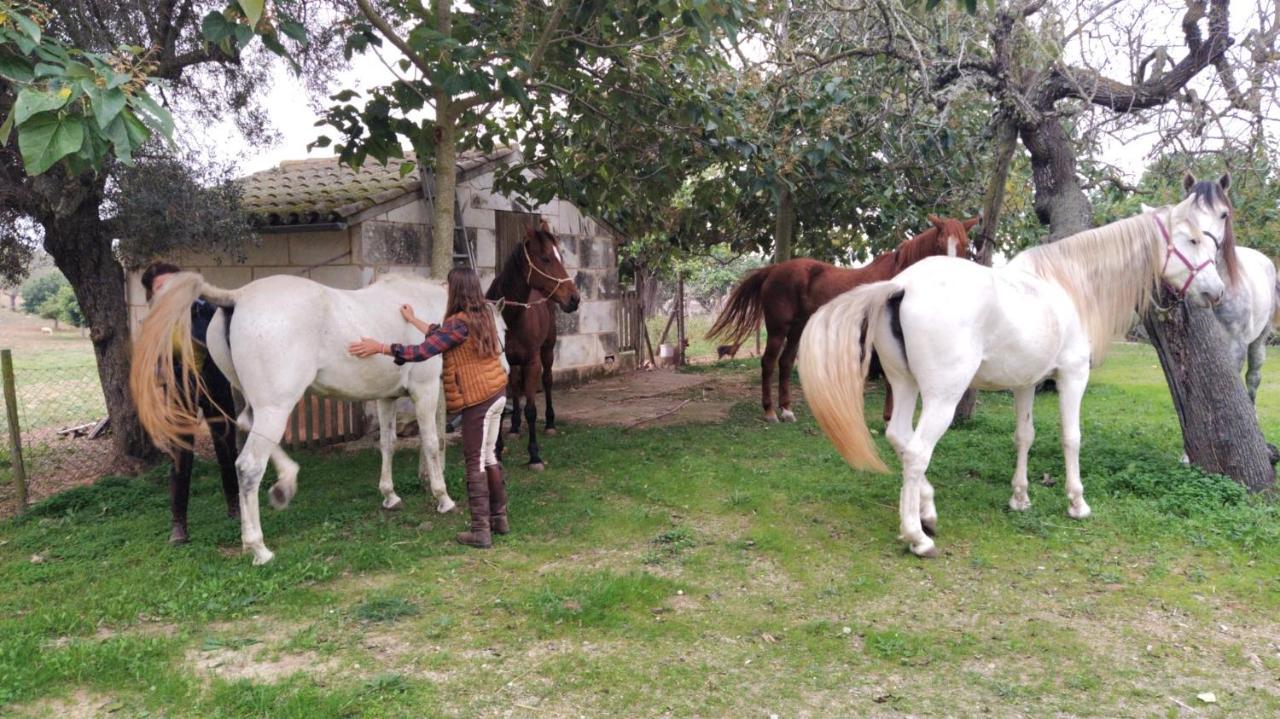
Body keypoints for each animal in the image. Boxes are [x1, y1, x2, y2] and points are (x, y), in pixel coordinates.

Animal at [129, 271, 488, 562]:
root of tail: (238, 297)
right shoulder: (424, 391)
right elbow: (432, 443)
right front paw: (443, 498)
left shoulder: (386, 398)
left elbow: (387, 444)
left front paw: (390, 495)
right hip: (275, 408)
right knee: (248, 467)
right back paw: (258, 548)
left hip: (259, 406)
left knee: (246, 427)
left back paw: (282, 488)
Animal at [483, 217, 581, 470]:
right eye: (545, 258)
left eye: (560, 257)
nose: (574, 299)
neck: (510, 317)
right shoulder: (502, 363)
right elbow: (503, 405)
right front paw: (497, 450)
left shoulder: (532, 362)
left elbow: (531, 409)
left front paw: (535, 455)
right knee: (516, 386)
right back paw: (515, 427)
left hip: (547, 352)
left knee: (547, 381)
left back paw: (550, 424)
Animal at [706, 214, 972, 422]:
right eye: (939, 244)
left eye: (964, 245)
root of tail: (774, 270)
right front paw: (889, 419)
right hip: (778, 329)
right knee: (769, 363)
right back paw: (770, 412)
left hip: (797, 329)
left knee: (785, 363)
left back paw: (787, 411)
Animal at [803, 176, 1233, 557]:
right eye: (1192, 239)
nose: (1216, 291)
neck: (1067, 285)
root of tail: (901, 285)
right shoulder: (1073, 376)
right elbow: (1071, 437)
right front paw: (1077, 503)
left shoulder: (1026, 383)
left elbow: (1024, 436)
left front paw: (1020, 497)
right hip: (942, 397)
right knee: (916, 452)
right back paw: (917, 537)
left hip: (904, 384)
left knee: (898, 436)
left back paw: (928, 509)